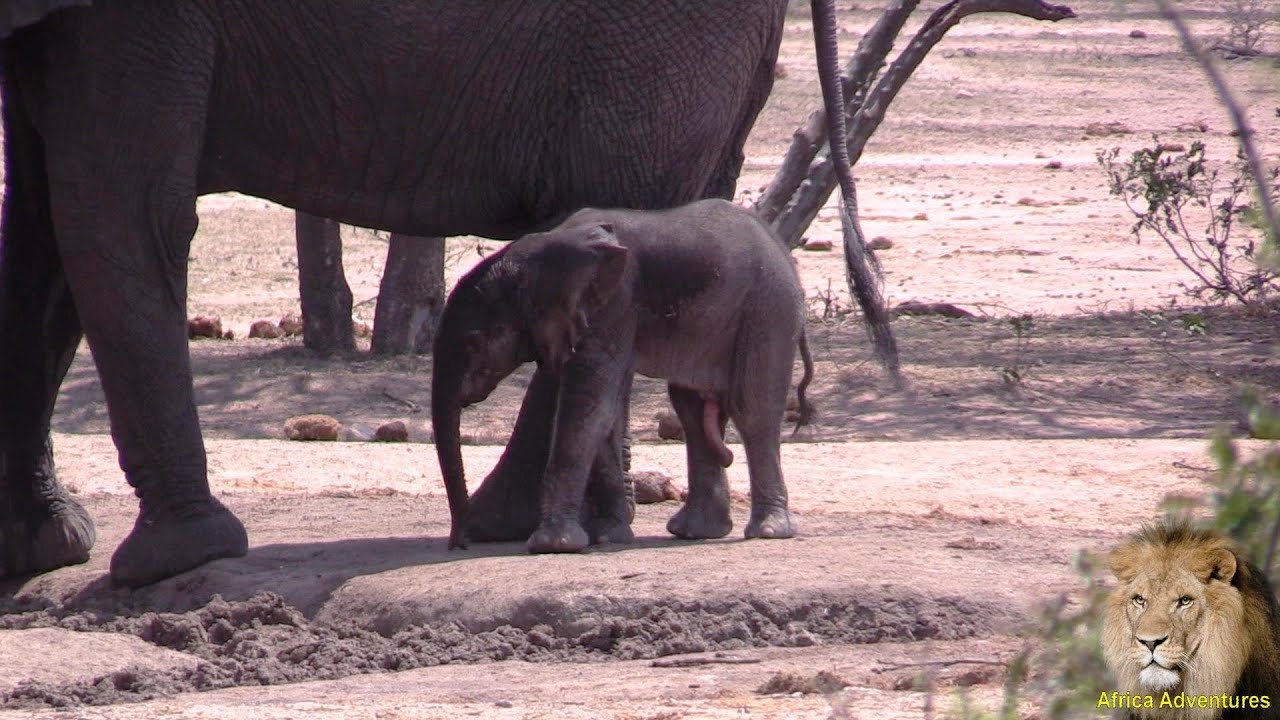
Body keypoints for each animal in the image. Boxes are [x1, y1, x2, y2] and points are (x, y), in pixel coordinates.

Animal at [432, 199, 816, 553]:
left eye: (476, 342)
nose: (459, 544)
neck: (543, 249)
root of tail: (782, 249)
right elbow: (606, 414)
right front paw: (608, 537)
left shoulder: (613, 305)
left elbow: (587, 409)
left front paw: (553, 545)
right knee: (691, 410)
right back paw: (695, 532)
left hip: (769, 310)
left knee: (753, 409)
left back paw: (768, 531)